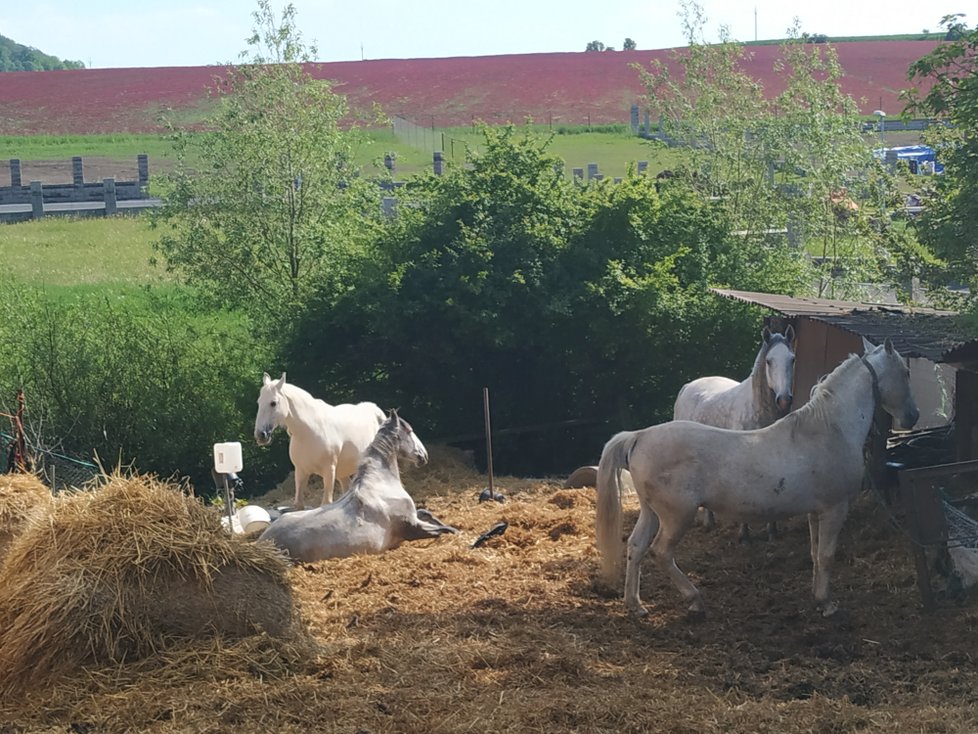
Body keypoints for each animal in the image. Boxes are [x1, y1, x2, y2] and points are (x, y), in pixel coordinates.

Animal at [255, 370, 386, 508]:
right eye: (259, 402)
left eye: (273, 403)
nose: (261, 435)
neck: (309, 431)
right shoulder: (301, 471)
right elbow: (299, 504)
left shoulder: (329, 471)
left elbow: (326, 503)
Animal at [260, 408, 458, 564]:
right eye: (409, 431)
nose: (423, 455)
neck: (381, 481)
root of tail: (264, 541)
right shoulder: (412, 526)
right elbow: (443, 530)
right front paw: (456, 530)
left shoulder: (414, 516)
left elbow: (428, 513)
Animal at [676, 328, 796, 540]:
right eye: (769, 361)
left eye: (792, 359)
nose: (784, 400)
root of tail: (688, 386)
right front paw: (744, 535)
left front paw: (772, 531)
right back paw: (708, 522)